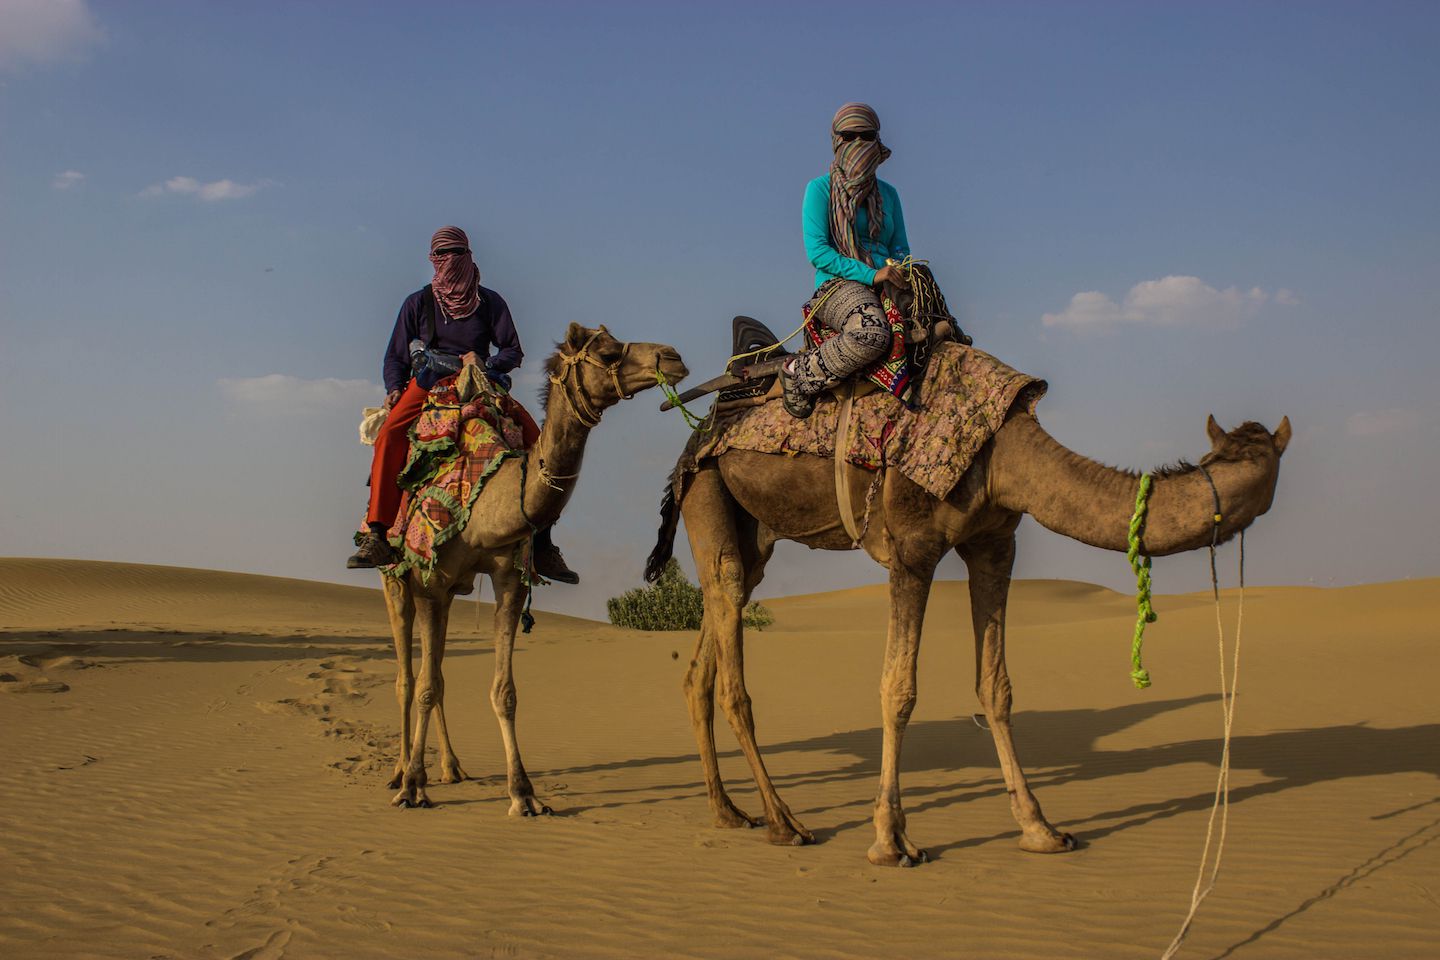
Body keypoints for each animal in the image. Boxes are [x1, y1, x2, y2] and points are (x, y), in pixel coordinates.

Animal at [383, 323, 687, 811]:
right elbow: (423, 686)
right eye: (608, 352)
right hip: (397, 582)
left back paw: (451, 768)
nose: (673, 356)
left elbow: (502, 692)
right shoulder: (431, 583)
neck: (486, 503)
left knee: (439, 675)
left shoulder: (507, 579)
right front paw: (413, 786)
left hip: (447, 596)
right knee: (408, 680)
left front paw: (523, 793)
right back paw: (400, 772)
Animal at [648, 404, 1289, 865]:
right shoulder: (912, 547)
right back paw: (784, 823)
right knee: (730, 638)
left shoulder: (994, 544)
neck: (1006, 457)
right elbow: (899, 689)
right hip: (707, 489)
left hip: (754, 527)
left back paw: (729, 812)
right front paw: (891, 840)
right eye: (1226, 452)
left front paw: (1041, 828)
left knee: (709, 641)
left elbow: (996, 687)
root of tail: (692, 441)